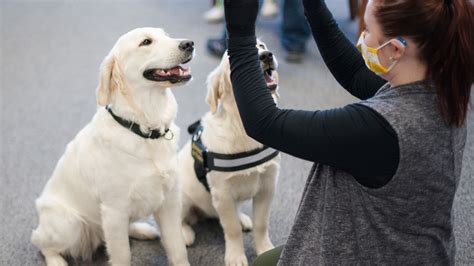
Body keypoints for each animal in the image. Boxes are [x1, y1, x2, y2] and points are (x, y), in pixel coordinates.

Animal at [31, 27, 193, 266]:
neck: (145, 130)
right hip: (69, 224)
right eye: (146, 42)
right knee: (40, 242)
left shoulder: (170, 200)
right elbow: (122, 255)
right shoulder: (114, 210)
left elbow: (177, 248)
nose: (189, 44)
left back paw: (142, 229)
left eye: (166, 35)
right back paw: (56, 261)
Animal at [180, 40, 280, 266]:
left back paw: (242, 219)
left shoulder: (268, 186)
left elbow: (261, 224)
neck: (242, 127)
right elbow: (231, 230)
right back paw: (184, 233)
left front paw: (265, 249)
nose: (266, 55)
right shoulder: (223, 194)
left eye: (262, 45)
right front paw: (236, 256)